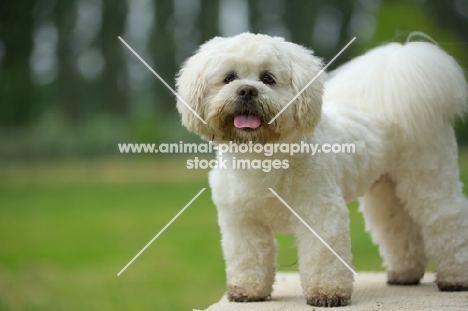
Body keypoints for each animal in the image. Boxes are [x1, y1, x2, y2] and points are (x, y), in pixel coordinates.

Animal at [175, 33, 468, 308]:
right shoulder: (242, 221)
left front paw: (327, 294)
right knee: (398, 226)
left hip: (429, 179)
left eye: (268, 78)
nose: (247, 90)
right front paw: (248, 291)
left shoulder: (320, 213)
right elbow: (248, 256)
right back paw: (405, 274)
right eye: (229, 78)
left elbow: (322, 255)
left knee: (448, 220)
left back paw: (455, 278)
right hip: (386, 190)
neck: (263, 156)